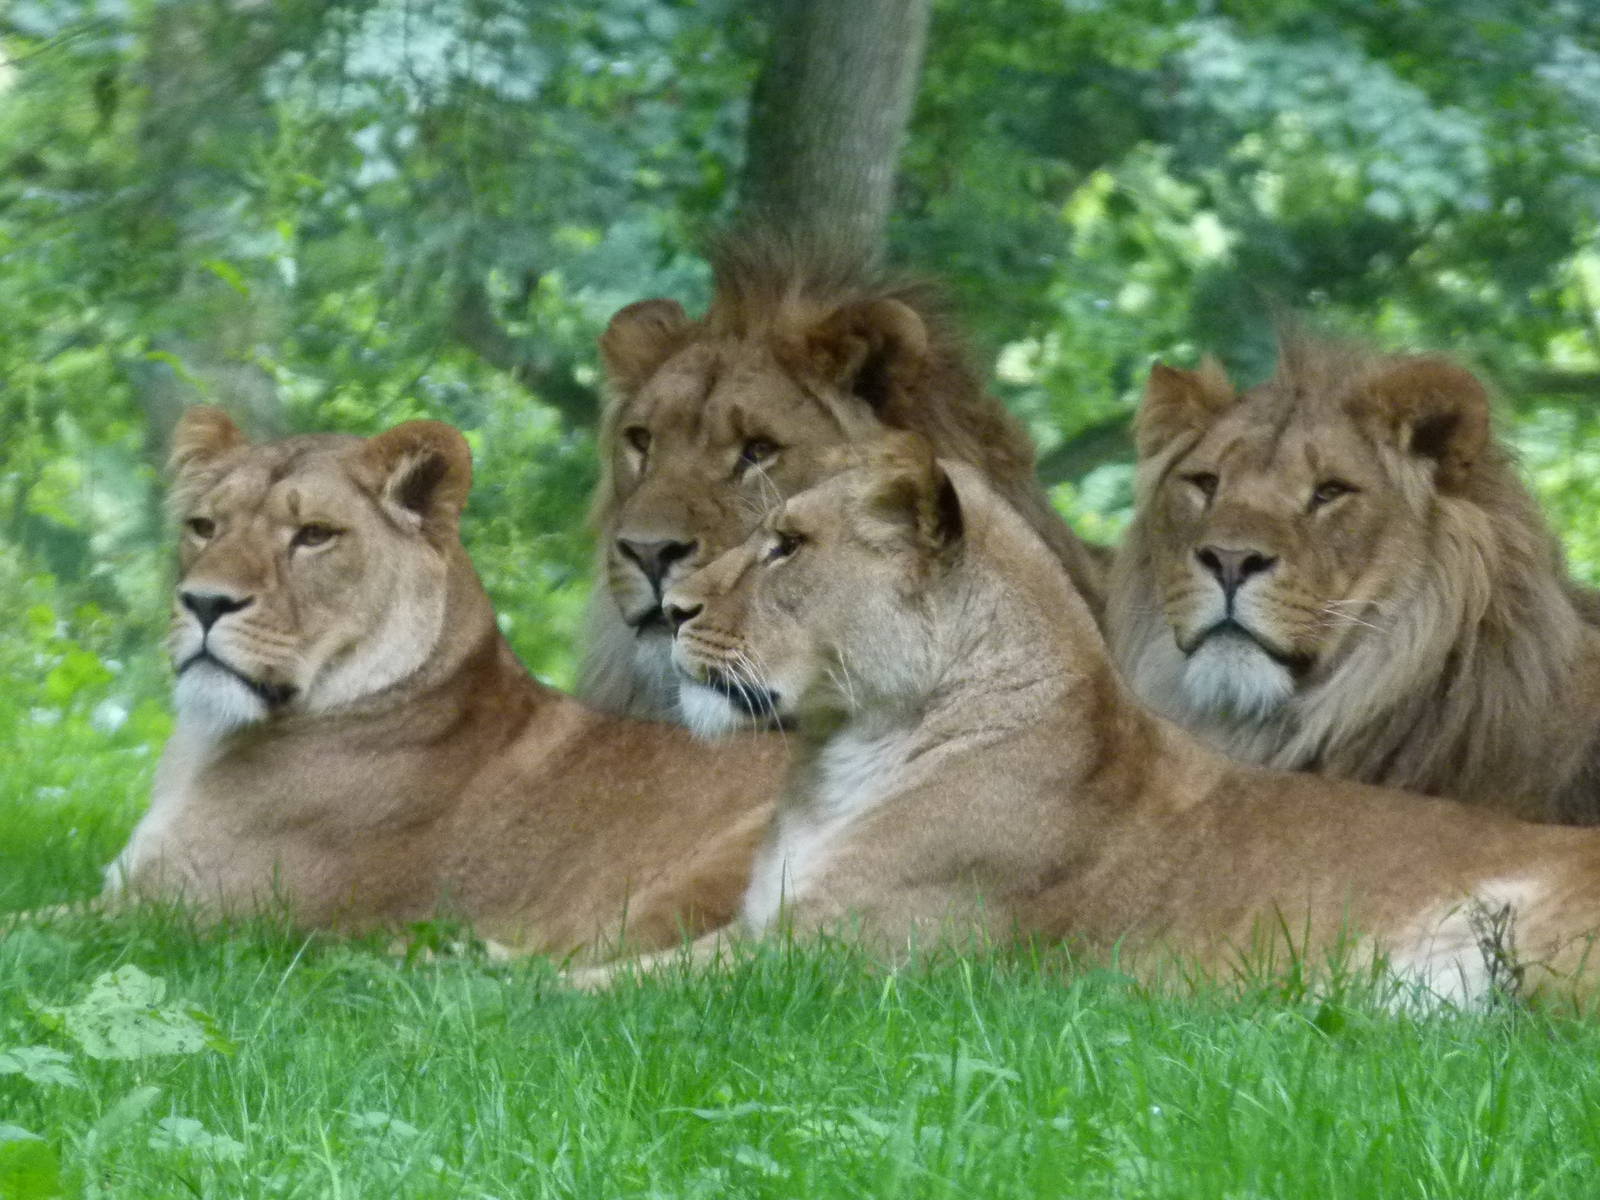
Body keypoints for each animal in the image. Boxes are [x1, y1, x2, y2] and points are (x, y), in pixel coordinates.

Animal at [576, 435, 1600, 1007]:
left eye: (786, 547)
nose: (675, 611)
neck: (835, 768)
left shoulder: (825, 963)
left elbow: (585, 996)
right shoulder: (761, 935)